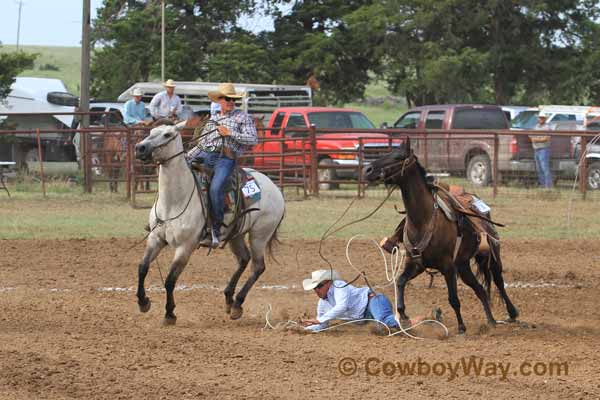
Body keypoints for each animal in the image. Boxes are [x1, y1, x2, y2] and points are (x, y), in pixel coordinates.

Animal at [136, 122, 286, 324]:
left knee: (258, 267)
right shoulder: (155, 238)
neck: (174, 201)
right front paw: (143, 302)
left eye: (167, 134)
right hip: (236, 234)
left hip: (259, 235)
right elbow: (142, 268)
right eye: (151, 132)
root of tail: (275, 188)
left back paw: (237, 304)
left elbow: (170, 280)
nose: (140, 148)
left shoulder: (185, 247)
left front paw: (169, 313)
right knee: (243, 259)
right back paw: (229, 299)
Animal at [364, 139, 516, 332]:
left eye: (398, 157)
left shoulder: (448, 267)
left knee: (498, 281)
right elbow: (400, 281)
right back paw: (491, 321)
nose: (367, 169)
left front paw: (461, 327)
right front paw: (403, 315)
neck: (422, 220)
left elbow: (453, 299)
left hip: (491, 257)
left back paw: (512, 313)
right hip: (463, 266)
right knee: (480, 289)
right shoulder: (416, 264)